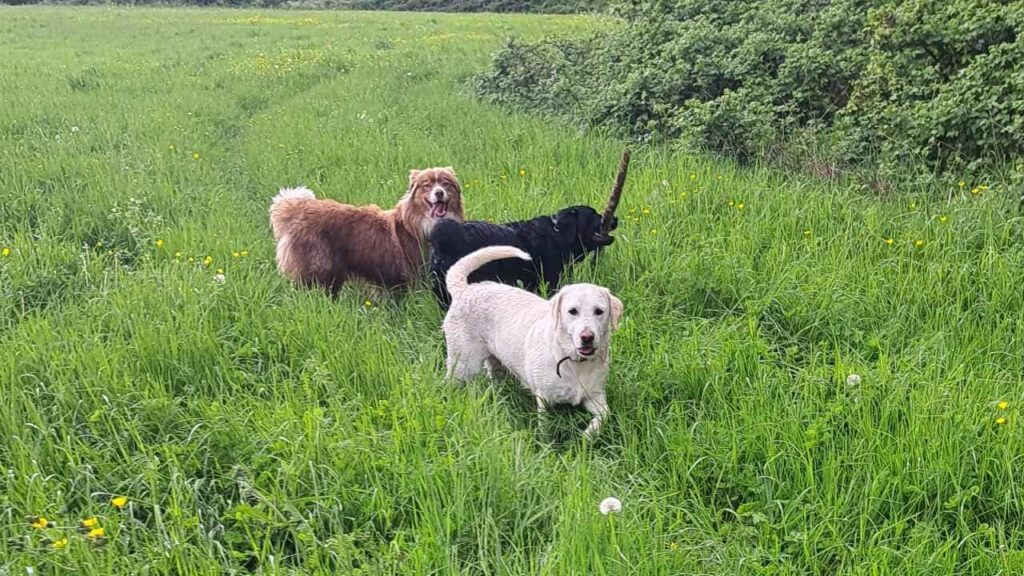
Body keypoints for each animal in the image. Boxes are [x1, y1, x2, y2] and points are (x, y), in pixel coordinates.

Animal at [272, 166, 464, 291]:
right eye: (427, 185)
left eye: (445, 184)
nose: (439, 192)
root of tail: (296, 210)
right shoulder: (415, 272)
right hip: (319, 268)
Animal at [442, 241, 622, 434]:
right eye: (572, 311)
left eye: (599, 311)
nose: (587, 337)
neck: (573, 361)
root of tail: (464, 289)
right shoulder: (544, 398)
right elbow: (545, 427)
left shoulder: (595, 395)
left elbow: (604, 415)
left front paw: (588, 435)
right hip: (463, 364)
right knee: (451, 383)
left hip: (495, 363)